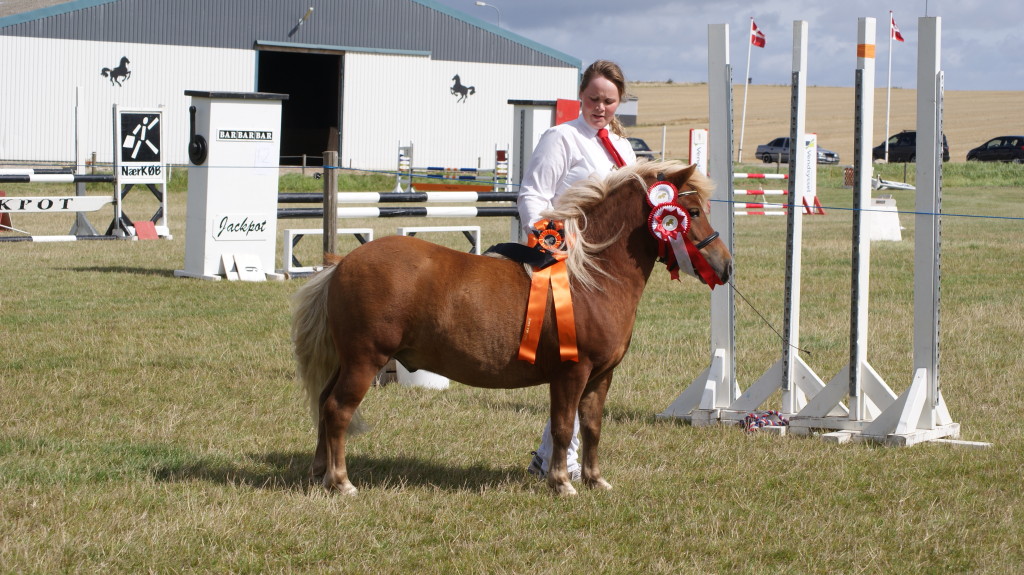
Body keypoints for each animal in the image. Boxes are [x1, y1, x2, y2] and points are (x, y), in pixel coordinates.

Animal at [292, 159, 733, 493]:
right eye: (691, 212)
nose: (726, 265)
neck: (592, 277)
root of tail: (341, 264)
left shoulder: (601, 376)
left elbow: (591, 427)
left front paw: (595, 480)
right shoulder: (572, 372)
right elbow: (563, 428)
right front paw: (561, 483)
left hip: (346, 362)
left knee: (323, 404)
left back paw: (319, 473)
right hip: (364, 361)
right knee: (337, 410)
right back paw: (341, 481)